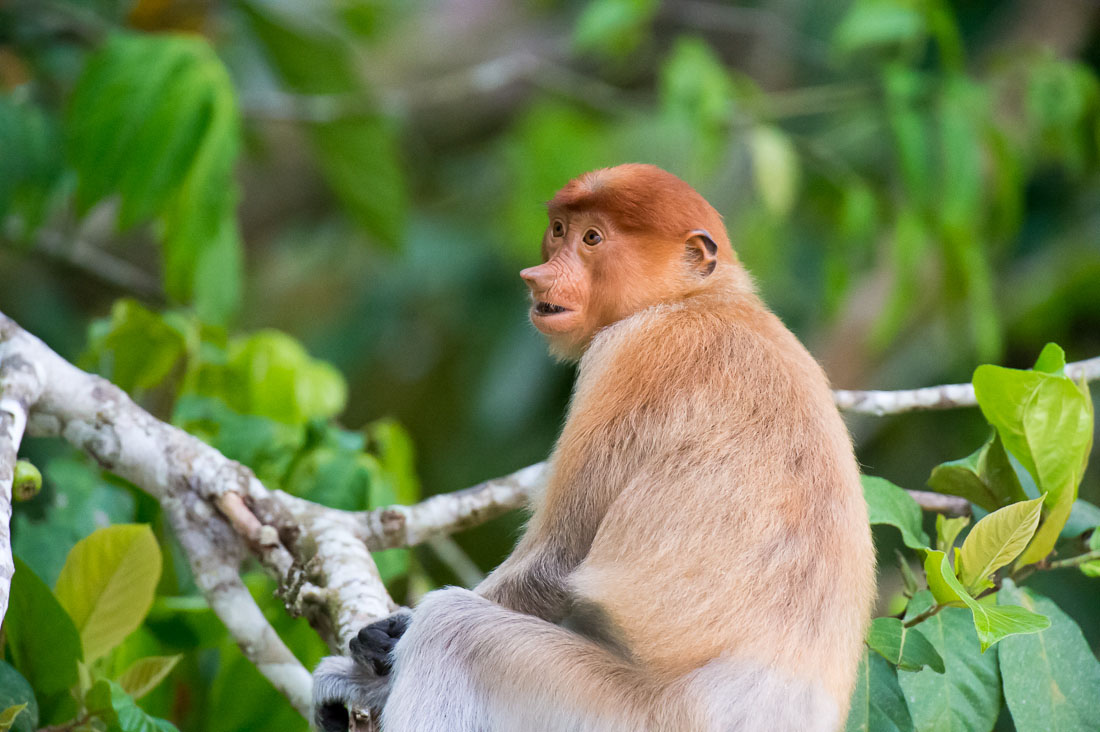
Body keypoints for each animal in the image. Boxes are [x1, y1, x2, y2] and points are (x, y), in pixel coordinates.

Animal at [312, 162, 875, 726]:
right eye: (559, 230)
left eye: (593, 239)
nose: (536, 277)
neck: (698, 298)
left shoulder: (630, 353)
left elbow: (558, 561)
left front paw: (380, 656)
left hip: (633, 713)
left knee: (452, 632)